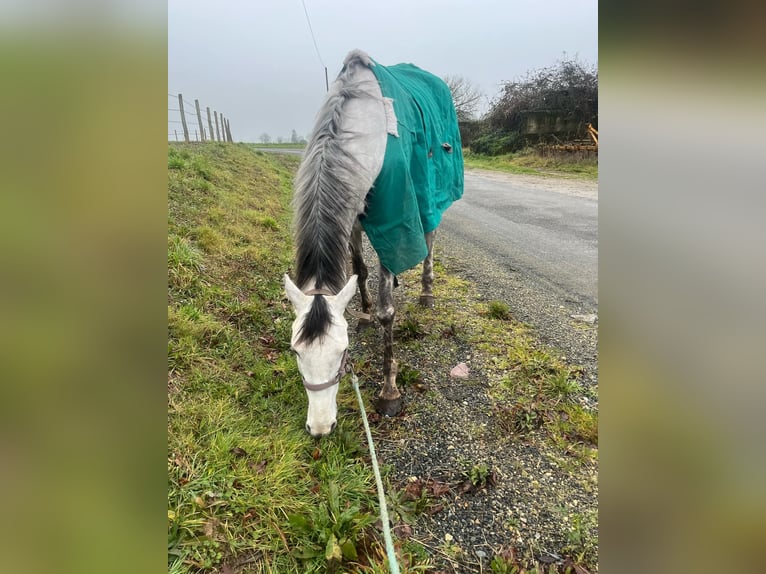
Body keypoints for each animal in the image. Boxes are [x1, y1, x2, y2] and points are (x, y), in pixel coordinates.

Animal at [284, 50, 464, 436]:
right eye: (295, 352)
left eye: (343, 351)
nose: (320, 427)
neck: (365, 133)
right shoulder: (353, 213)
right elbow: (359, 268)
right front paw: (364, 311)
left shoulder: (392, 219)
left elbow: (387, 311)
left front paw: (389, 390)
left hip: (431, 200)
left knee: (429, 239)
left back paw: (426, 291)